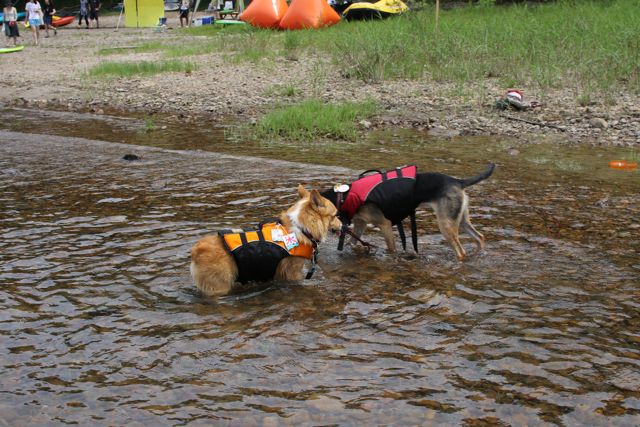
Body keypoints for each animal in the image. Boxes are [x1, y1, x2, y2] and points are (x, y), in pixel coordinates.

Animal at [320, 165, 496, 260]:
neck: (343, 196)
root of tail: (458, 181)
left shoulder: (385, 224)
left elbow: (392, 249)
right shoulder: (360, 224)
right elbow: (351, 243)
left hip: (446, 224)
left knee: (461, 252)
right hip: (460, 219)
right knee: (480, 237)